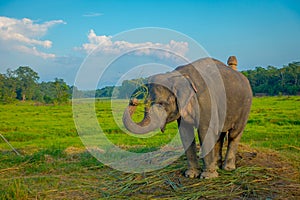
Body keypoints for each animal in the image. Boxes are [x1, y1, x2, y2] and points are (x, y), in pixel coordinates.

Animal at [123, 56, 252, 178]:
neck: (176, 75)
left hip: (245, 105)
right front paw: (191, 175)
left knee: (234, 134)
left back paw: (227, 168)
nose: (133, 100)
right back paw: (217, 166)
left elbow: (205, 130)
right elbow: (185, 133)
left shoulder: (206, 100)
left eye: (162, 104)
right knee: (220, 134)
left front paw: (207, 177)